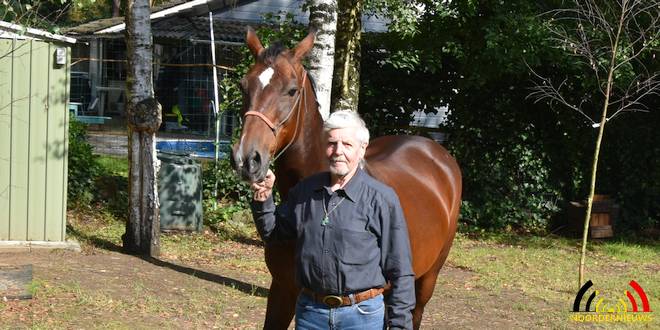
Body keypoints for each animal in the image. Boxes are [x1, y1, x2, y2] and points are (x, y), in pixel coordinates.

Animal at [235, 29, 462, 330]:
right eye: (243, 86)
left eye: (292, 90)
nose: (247, 158)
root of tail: (436, 152)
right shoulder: (283, 289)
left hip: (427, 280)